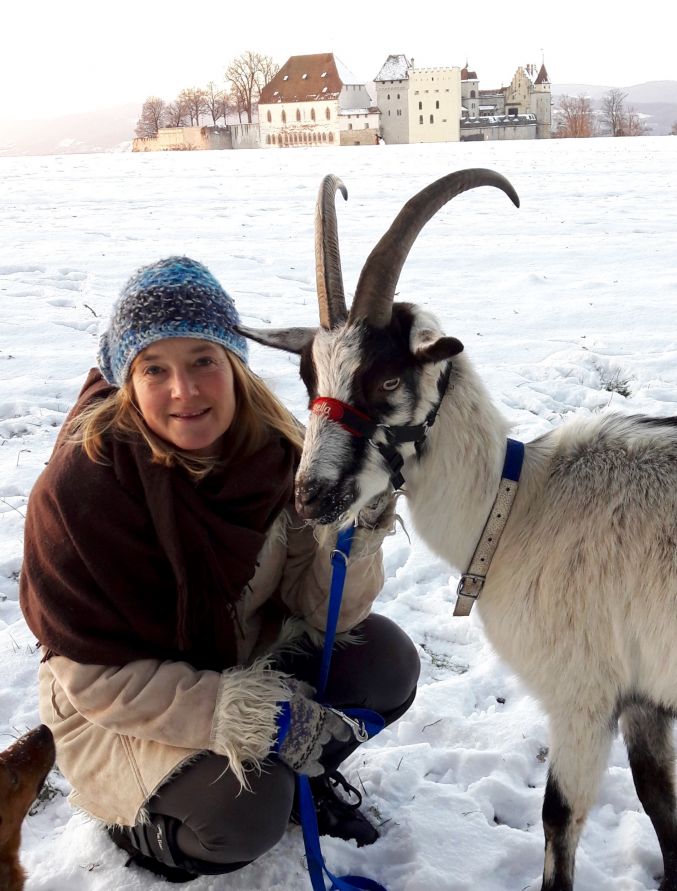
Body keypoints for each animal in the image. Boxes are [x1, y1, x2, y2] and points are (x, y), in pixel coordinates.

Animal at [239, 169, 677, 891]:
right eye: (307, 377)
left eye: (388, 378)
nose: (311, 494)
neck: (517, 508)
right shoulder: (641, 696)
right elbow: (656, 797)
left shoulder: (582, 697)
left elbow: (559, 819)